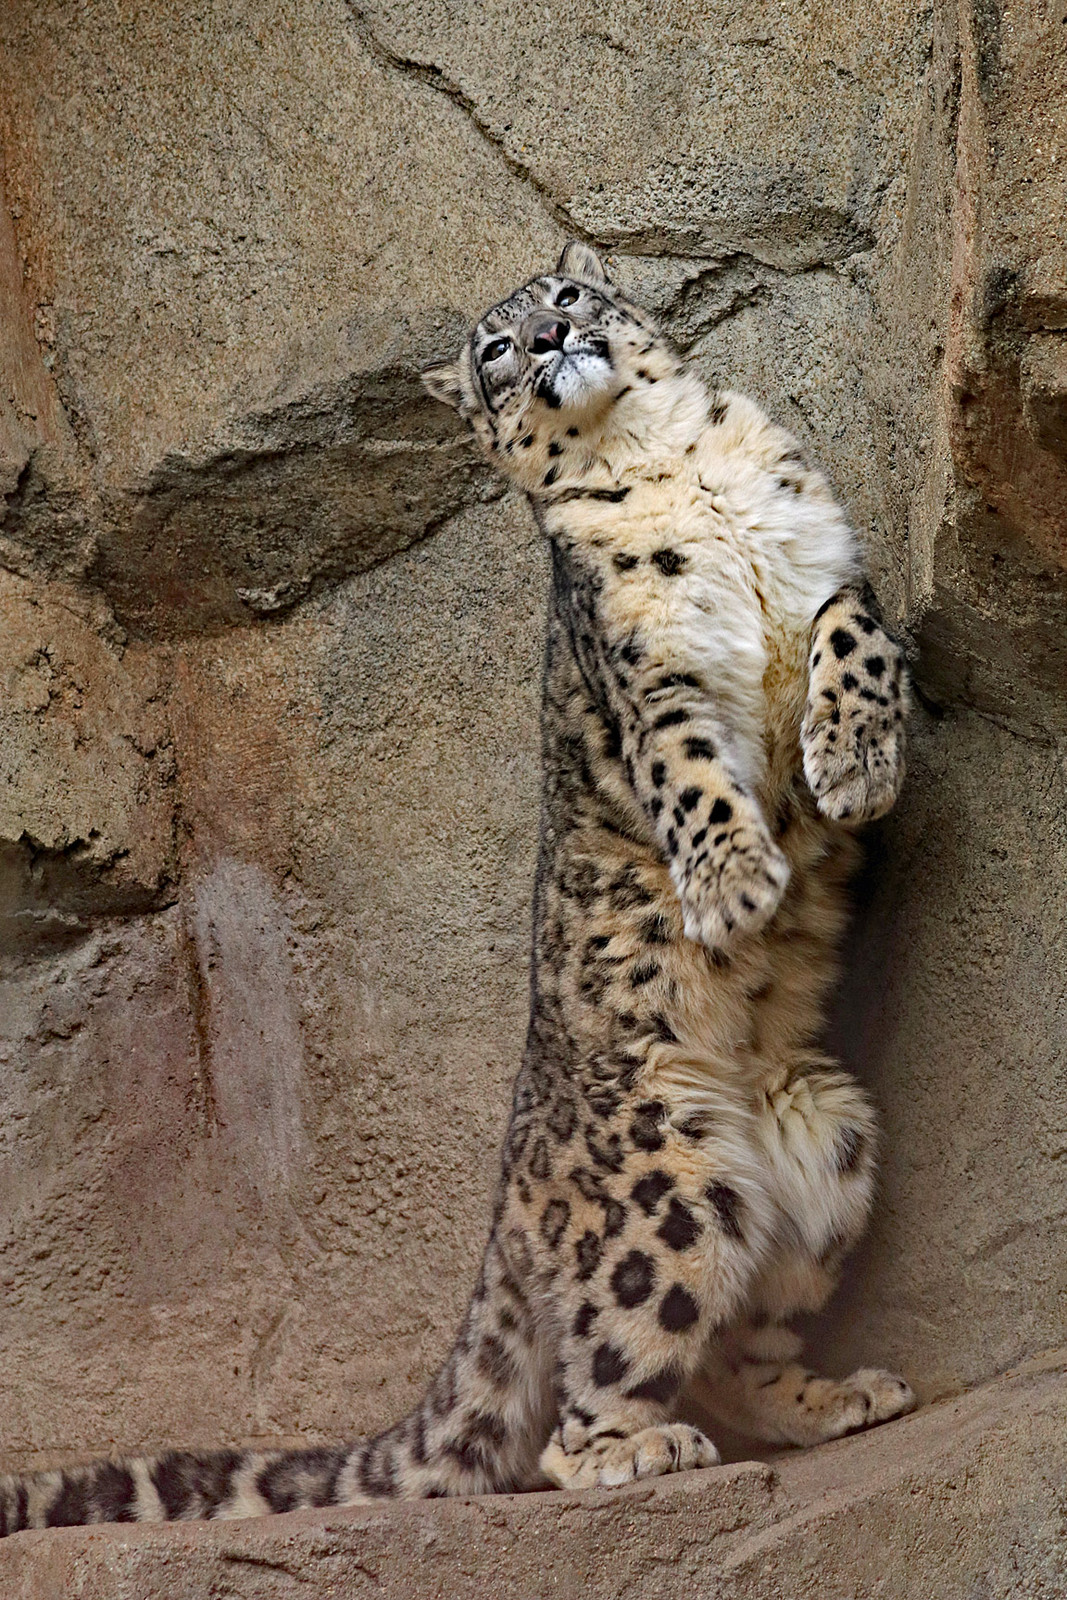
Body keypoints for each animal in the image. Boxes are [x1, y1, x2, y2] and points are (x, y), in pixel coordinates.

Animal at [0, 241, 914, 1536]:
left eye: (565, 297)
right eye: (492, 351)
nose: (543, 341)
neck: (664, 464)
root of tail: (511, 1195)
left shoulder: (825, 562)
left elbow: (851, 633)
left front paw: (854, 765)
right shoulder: (648, 678)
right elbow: (689, 770)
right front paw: (735, 882)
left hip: (828, 1137)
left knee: (741, 1343)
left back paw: (835, 1397)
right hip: (664, 1187)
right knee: (586, 1397)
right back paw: (639, 1450)